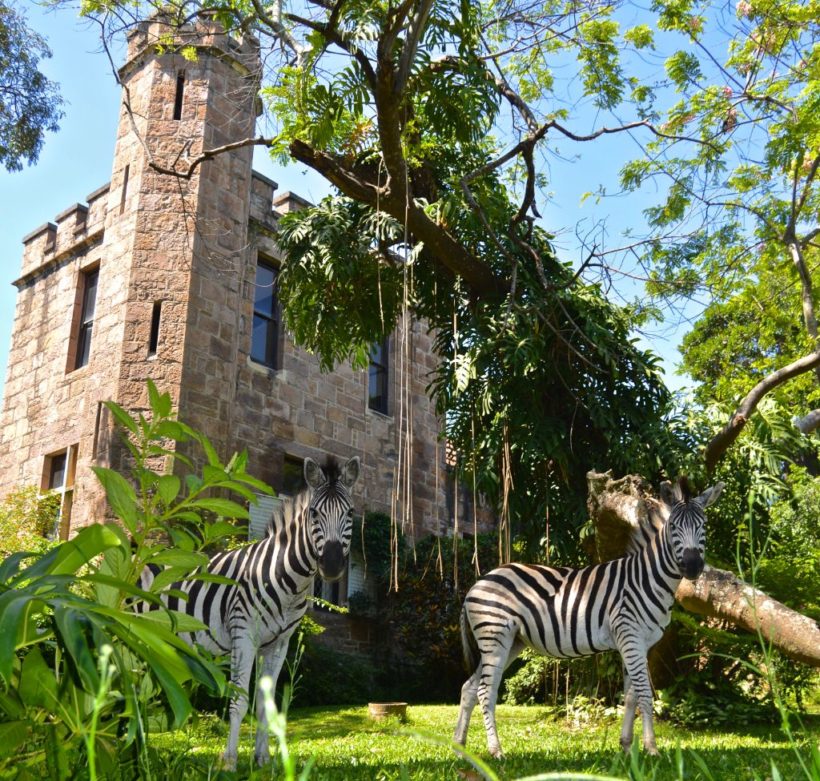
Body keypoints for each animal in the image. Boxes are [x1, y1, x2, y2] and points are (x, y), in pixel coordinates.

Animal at [138, 455, 360, 768]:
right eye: (314, 513)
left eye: (350, 512)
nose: (330, 565)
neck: (291, 582)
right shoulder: (243, 635)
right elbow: (239, 701)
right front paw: (229, 761)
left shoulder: (279, 644)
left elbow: (267, 706)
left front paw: (263, 759)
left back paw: (136, 749)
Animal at [454, 478, 723, 758]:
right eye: (673, 527)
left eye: (703, 526)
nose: (693, 567)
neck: (647, 578)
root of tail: (479, 582)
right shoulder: (631, 637)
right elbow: (645, 694)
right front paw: (651, 749)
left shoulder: (638, 644)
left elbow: (631, 696)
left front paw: (627, 747)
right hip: (495, 636)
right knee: (485, 690)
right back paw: (495, 751)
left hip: (510, 642)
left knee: (469, 688)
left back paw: (460, 748)